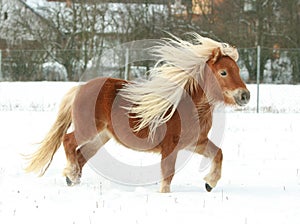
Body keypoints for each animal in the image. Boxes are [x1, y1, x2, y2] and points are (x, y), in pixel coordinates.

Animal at [25, 33, 250, 192]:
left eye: (238, 70)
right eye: (223, 72)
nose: (245, 95)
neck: (188, 108)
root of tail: (81, 88)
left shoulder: (197, 142)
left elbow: (218, 154)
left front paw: (210, 183)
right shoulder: (170, 148)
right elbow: (168, 175)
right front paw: (165, 195)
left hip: (102, 136)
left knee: (81, 154)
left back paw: (72, 179)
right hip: (87, 129)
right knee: (68, 141)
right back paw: (71, 174)